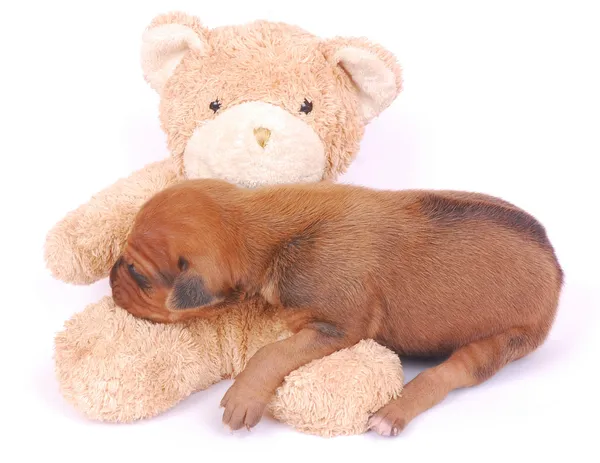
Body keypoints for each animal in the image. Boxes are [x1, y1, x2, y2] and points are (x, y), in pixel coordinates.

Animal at [108, 178, 564, 436]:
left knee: (448, 374)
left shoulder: (338, 327)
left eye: (137, 272)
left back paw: (392, 413)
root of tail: (558, 270)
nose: (111, 276)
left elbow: (272, 352)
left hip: (502, 341)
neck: (258, 225)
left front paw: (242, 397)